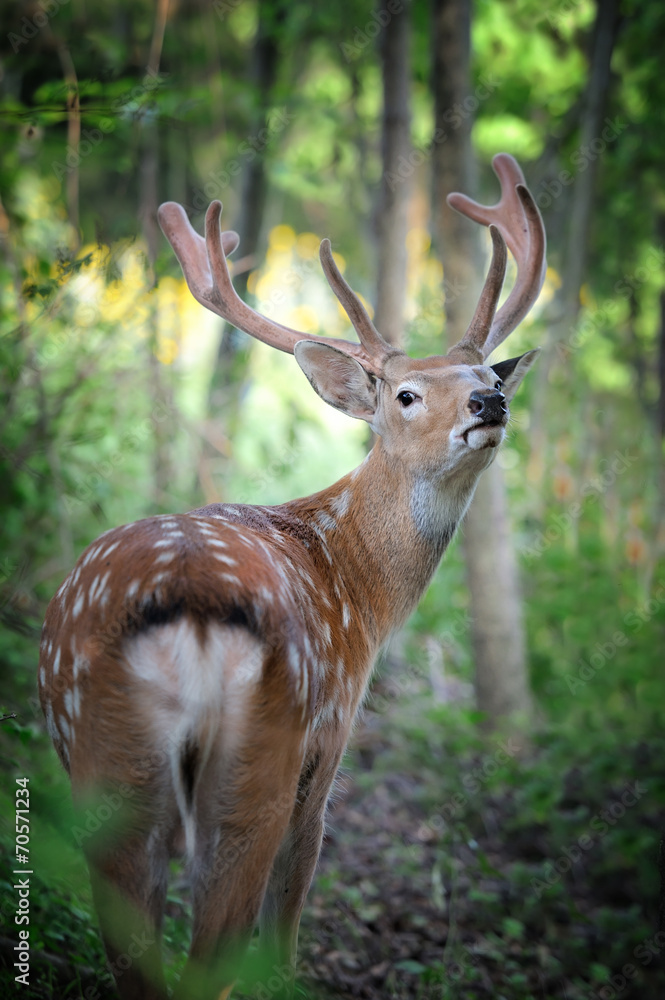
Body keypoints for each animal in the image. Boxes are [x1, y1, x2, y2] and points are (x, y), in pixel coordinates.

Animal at [39, 150, 544, 1000]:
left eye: (486, 372)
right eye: (405, 394)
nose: (489, 401)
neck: (356, 583)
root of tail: (190, 600)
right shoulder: (330, 744)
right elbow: (287, 923)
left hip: (103, 763)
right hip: (262, 762)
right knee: (216, 948)